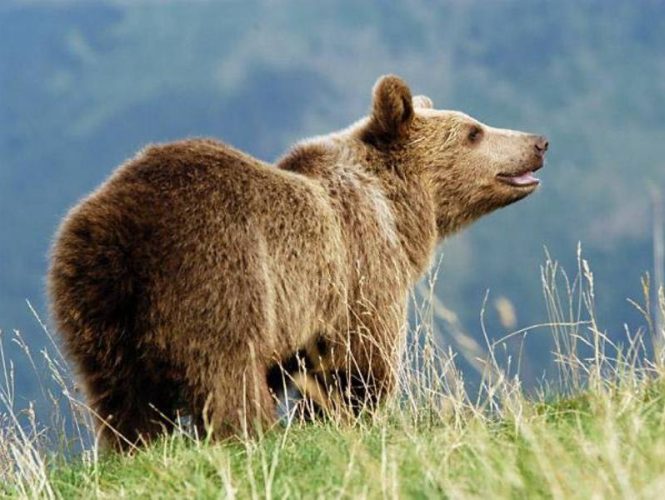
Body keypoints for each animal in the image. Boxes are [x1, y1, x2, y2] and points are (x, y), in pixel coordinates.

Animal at [46, 75, 544, 454]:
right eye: (473, 131)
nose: (538, 142)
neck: (399, 211)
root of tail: (120, 226)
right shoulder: (357, 268)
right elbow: (358, 361)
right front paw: (334, 416)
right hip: (218, 276)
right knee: (229, 373)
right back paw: (253, 433)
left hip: (93, 304)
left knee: (120, 395)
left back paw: (138, 447)